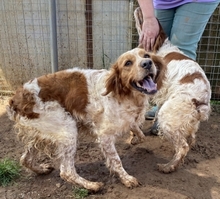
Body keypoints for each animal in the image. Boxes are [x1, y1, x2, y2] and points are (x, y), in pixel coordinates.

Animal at [6, 47, 165, 191]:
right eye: (128, 63)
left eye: (147, 55)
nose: (147, 63)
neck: (123, 94)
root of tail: (15, 99)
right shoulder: (104, 136)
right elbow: (116, 160)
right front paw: (126, 178)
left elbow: (139, 132)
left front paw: (135, 137)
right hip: (67, 130)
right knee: (66, 171)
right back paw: (92, 185)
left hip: (42, 133)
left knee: (25, 159)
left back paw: (41, 169)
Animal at [133, 7, 212, 173]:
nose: (139, 7)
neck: (160, 47)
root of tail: (201, 102)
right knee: (190, 139)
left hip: (169, 117)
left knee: (183, 147)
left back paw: (168, 166)